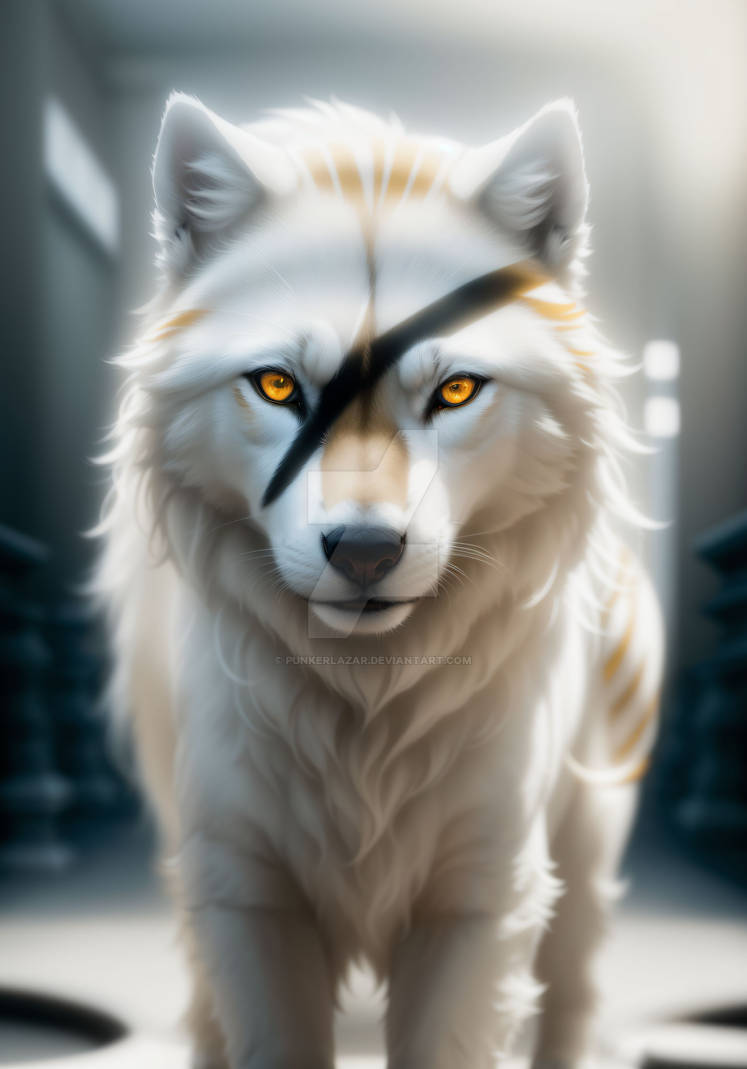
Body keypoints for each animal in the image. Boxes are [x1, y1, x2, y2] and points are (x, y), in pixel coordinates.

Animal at [97, 94, 664, 1068]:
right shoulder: (248, 891)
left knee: (574, 989)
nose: (363, 550)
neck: (364, 706)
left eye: (456, 390)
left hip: (586, 847)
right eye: (277, 385)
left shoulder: (478, 894)